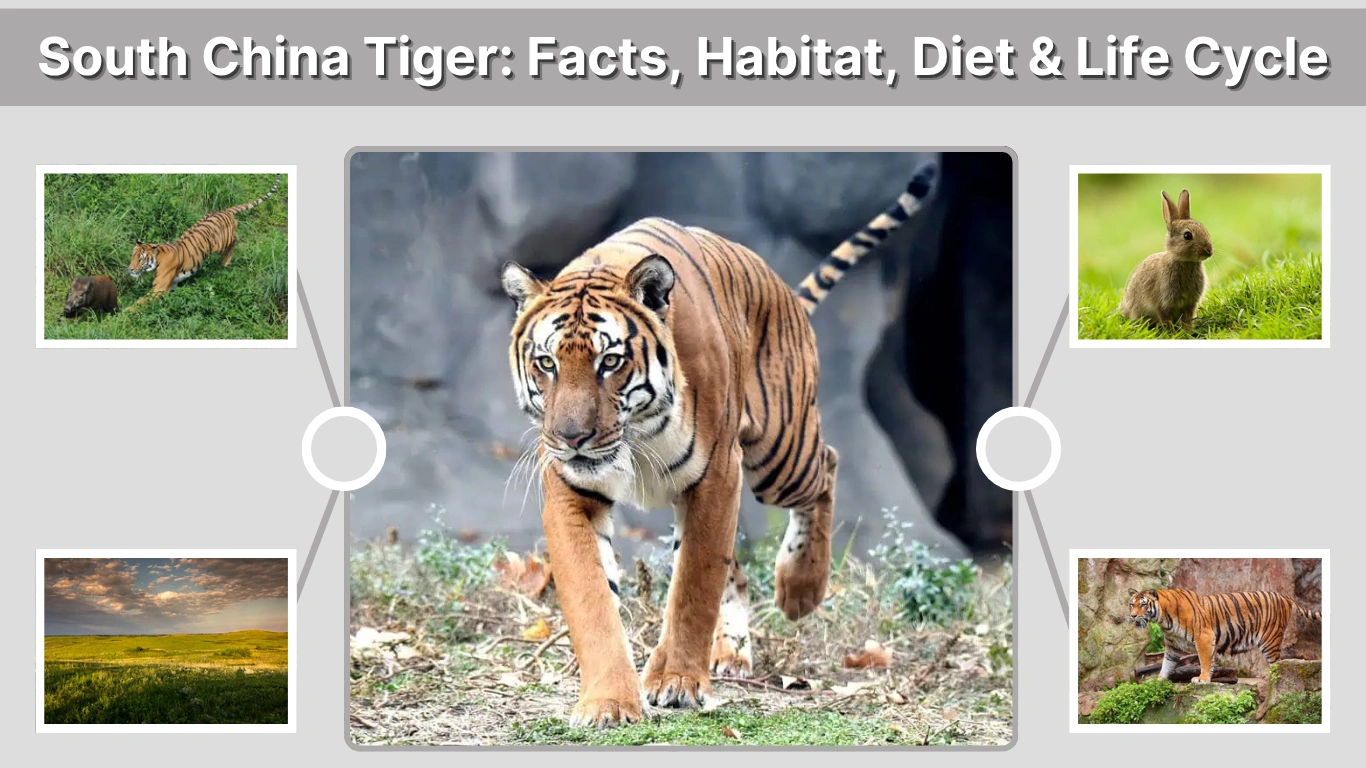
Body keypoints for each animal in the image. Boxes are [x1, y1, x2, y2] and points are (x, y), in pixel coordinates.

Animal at [125, 173, 282, 309]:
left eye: (141, 259)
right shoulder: (171, 285)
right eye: (133, 257)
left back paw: (225, 262)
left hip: (221, 243)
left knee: (235, 238)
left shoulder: (160, 288)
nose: (130, 269)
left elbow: (138, 303)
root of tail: (225, 210)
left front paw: (124, 314)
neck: (157, 260)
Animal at [499, 163, 937, 728]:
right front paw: (608, 702)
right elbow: (592, 598)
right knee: (740, 573)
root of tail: (780, 287)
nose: (572, 438)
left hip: (780, 453)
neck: (634, 438)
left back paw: (799, 588)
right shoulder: (572, 491)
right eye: (547, 363)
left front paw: (677, 682)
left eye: (609, 362)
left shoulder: (715, 476)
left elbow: (694, 586)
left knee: (828, 464)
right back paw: (731, 654)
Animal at [1127, 588, 1322, 683]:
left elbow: (1205, 661)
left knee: (1278, 664)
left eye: (1143, 604)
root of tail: (1285, 596)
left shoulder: (1204, 637)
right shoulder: (1173, 646)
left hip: (1270, 640)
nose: (1133, 616)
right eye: (1131, 604)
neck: (1163, 618)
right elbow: (1166, 664)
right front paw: (1158, 680)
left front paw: (1202, 679)